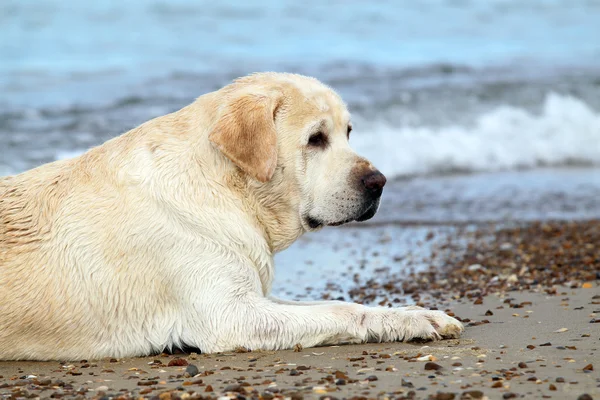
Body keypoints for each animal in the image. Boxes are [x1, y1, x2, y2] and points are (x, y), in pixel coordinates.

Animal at [0, 71, 464, 360]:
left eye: (348, 133)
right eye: (316, 139)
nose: (379, 182)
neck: (228, 188)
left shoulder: (250, 293)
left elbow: (341, 305)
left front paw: (415, 316)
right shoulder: (232, 315)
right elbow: (341, 312)